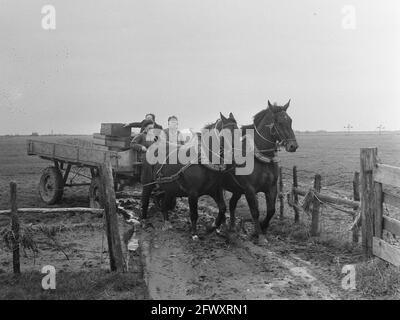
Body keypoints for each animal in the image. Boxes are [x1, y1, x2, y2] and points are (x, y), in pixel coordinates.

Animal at [140, 111, 238, 239]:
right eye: (227, 133)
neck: (204, 161)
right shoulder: (193, 193)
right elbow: (194, 213)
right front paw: (194, 233)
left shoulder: (215, 189)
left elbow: (222, 208)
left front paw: (211, 227)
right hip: (147, 182)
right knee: (145, 199)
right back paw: (143, 221)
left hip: (169, 188)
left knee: (164, 203)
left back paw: (167, 222)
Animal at [222, 101, 296, 244]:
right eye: (278, 121)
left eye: (290, 120)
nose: (293, 146)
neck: (262, 158)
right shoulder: (249, 190)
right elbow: (255, 211)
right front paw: (259, 235)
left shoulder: (271, 188)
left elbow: (271, 210)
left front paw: (262, 228)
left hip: (237, 189)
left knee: (232, 204)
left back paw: (232, 227)